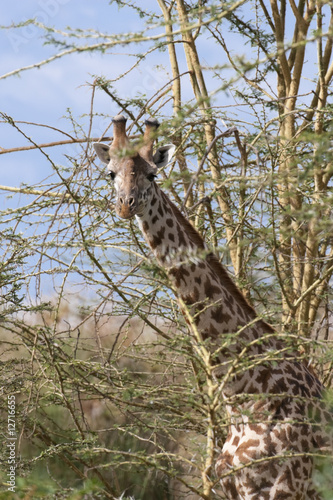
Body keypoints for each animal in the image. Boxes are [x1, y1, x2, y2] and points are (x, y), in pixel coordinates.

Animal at [94, 114, 332, 500]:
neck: (245, 397)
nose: (126, 204)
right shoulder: (232, 488)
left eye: (152, 175)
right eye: (111, 172)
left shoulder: (284, 488)